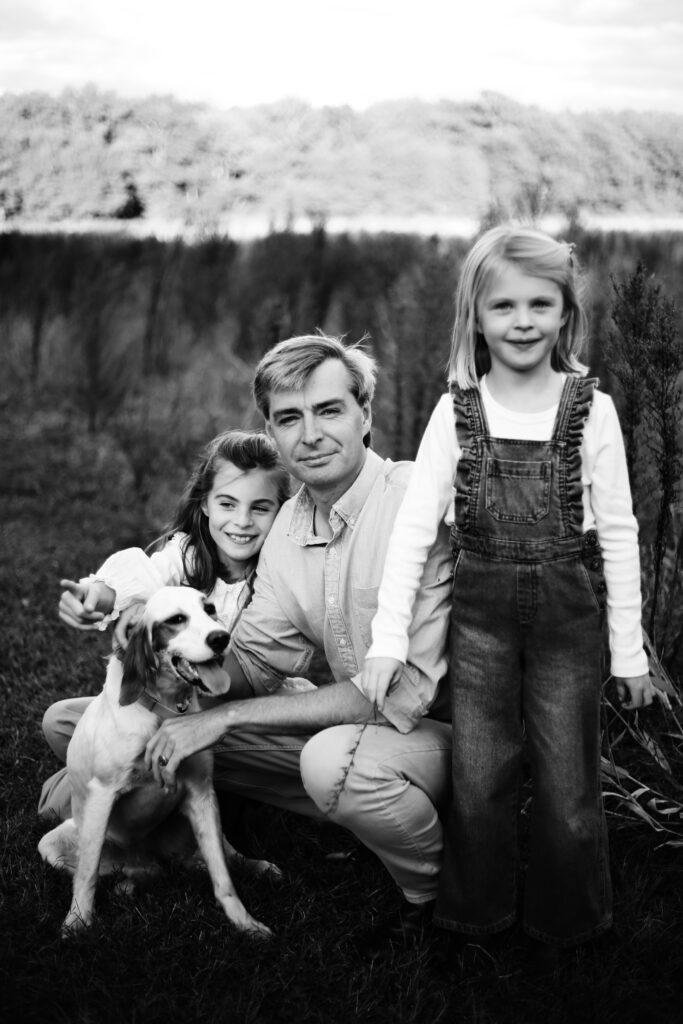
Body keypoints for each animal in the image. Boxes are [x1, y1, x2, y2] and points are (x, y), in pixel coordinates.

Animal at [36, 589, 278, 937]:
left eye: (210, 609)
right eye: (176, 619)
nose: (221, 637)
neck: (165, 709)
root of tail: (148, 858)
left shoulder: (201, 792)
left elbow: (223, 878)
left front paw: (245, 923)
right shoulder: (101, 796)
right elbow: (86, 875)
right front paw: (77, 922)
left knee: (220, 854)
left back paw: (254, 865)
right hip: (54, 842)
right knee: (126, 871)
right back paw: (127, 885)